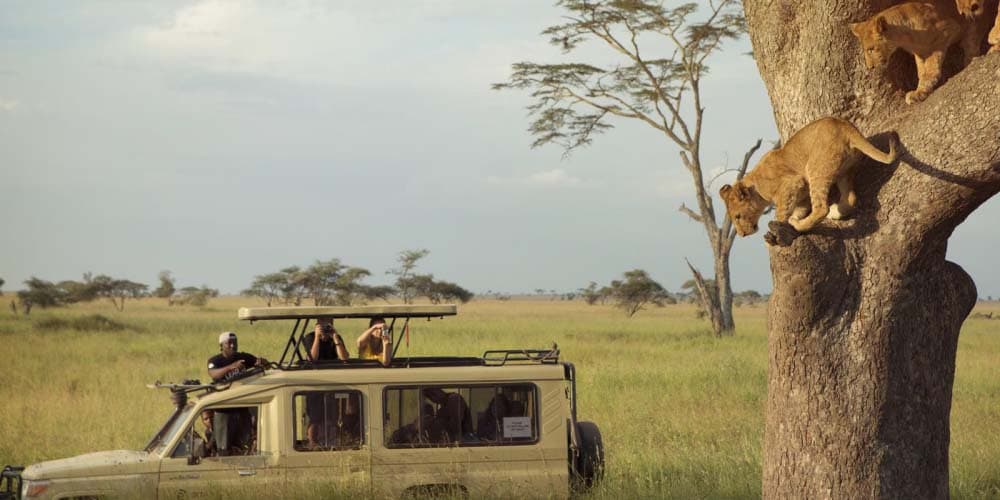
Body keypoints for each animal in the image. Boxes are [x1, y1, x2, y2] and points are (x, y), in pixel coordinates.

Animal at [719, 117, 899, 238]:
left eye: (737, 216)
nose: (742, 234)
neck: (755, 187)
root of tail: (845, 126)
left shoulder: (792, 183)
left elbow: (781, 212)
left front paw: (781, 226)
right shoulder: (801, 195)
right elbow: (797, 209)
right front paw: (794, 218)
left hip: (815, 168)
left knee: (821, 208)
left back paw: (804, 224)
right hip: (844, 172)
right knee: (851, 197)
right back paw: (835, 212)